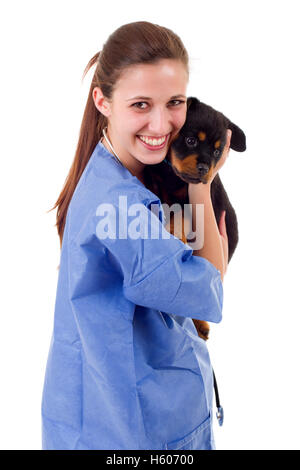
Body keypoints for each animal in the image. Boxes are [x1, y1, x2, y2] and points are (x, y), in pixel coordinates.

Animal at [145, 96, 246, 338]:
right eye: (190, 140)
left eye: (217, 152)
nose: (204, 168)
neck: (172, 176)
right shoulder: (153, 178)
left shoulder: (192, 202)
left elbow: (180, 215)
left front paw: (176, 233)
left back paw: (201, 325)